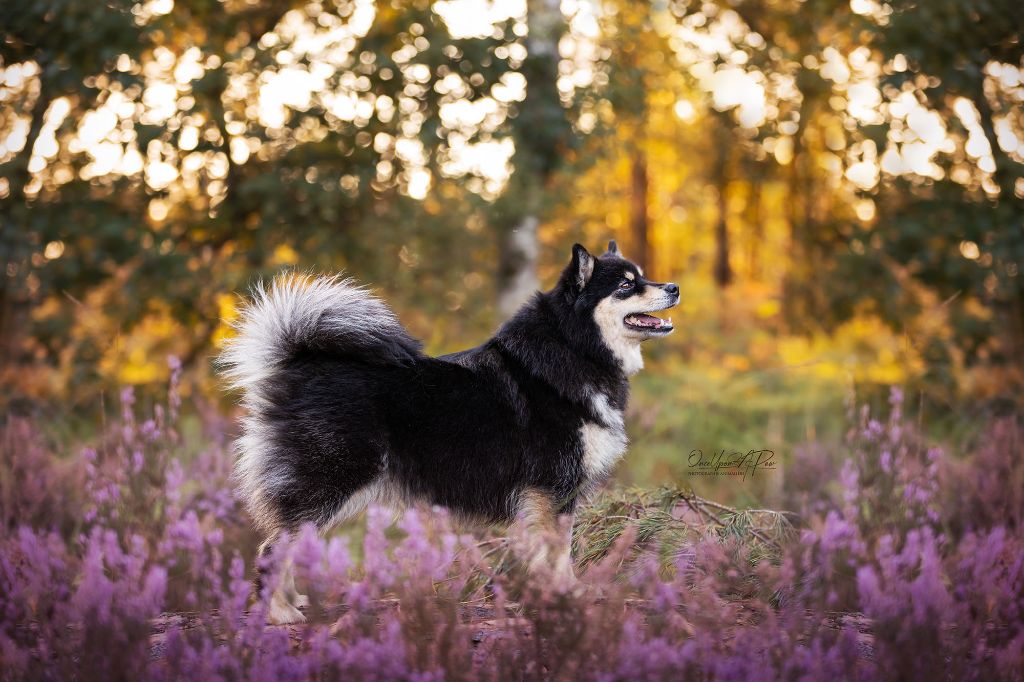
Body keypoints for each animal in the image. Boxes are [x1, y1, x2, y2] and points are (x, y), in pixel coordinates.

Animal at [220, 240, 675, 622]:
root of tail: (298, 363)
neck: (574, 348)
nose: (673, 287)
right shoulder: (552, 489)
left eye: (642, 276)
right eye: (626, 285)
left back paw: (290, 601)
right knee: (273, 547)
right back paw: (277, 613)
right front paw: (566, 593)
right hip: (329, 481)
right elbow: (559, 551)